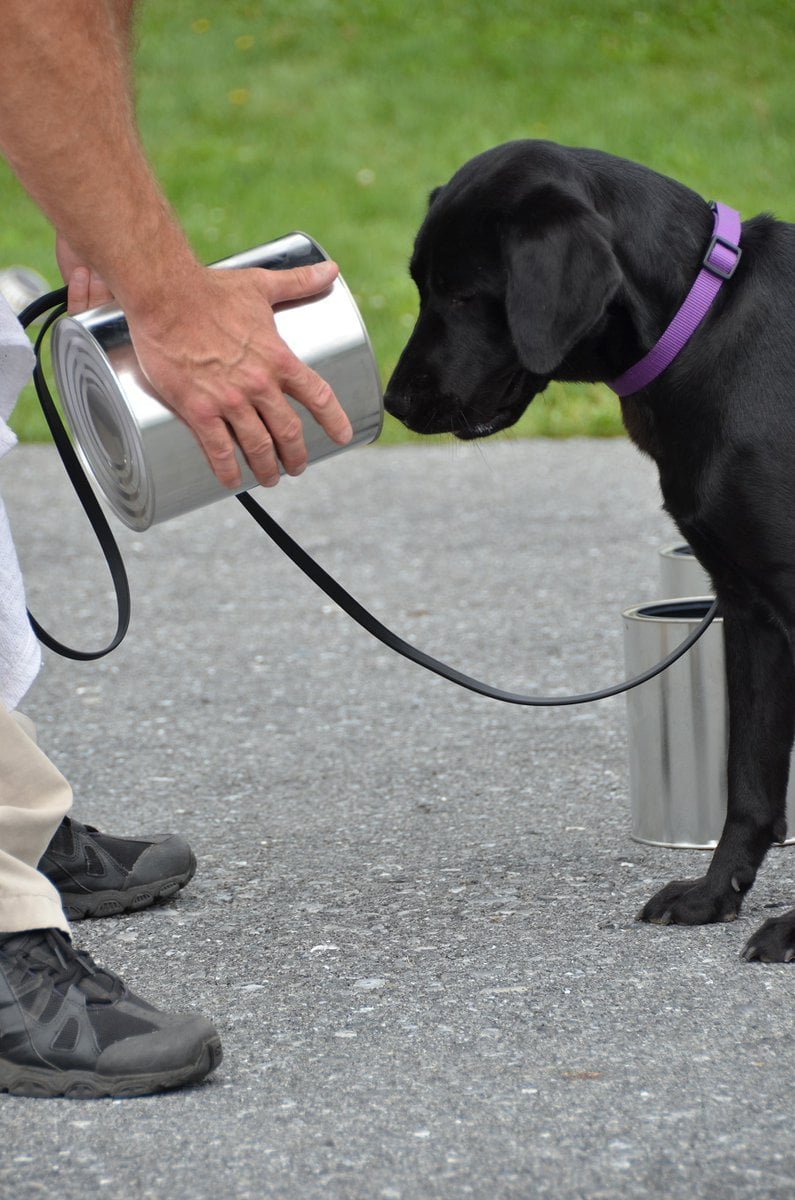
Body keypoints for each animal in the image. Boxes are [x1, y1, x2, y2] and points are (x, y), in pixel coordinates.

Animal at [384, 142, 795, 964]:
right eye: (420, 286)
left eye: (462, 293)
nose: (393, 403)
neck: (705, 324)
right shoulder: (749, 612)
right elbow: (747, 785)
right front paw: (714, 894)